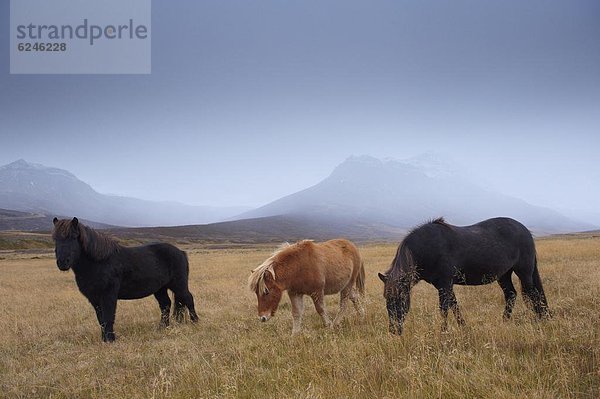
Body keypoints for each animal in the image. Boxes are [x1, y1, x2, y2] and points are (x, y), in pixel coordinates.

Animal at [50, 217, 198, 342]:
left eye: (73, 237)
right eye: (55, 239)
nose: (62, 262)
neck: (100, 262)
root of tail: (181, 252)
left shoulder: (108, 295)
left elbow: (108, 317)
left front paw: (111, 340)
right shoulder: (94, 298)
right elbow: (101, 319)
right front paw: (104, 340)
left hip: (179, 285)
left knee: (188, 299)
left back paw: (195, 322)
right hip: (160, 288)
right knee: (165, 305)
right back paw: (163, 327)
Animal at [378, 217, 552, 336]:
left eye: (401, 298)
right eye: (386, 298)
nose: (394, 331)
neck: (426, 247)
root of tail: (525, 231)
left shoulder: (445, 284)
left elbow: (444, 309)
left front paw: (443, 332)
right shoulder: (445, 285)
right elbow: (454, 306)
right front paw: (463, 327)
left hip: (524, 272)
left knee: (533, 294)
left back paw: (539, 319)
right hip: (504, 275)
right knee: (511, 295)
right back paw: (505, 321)